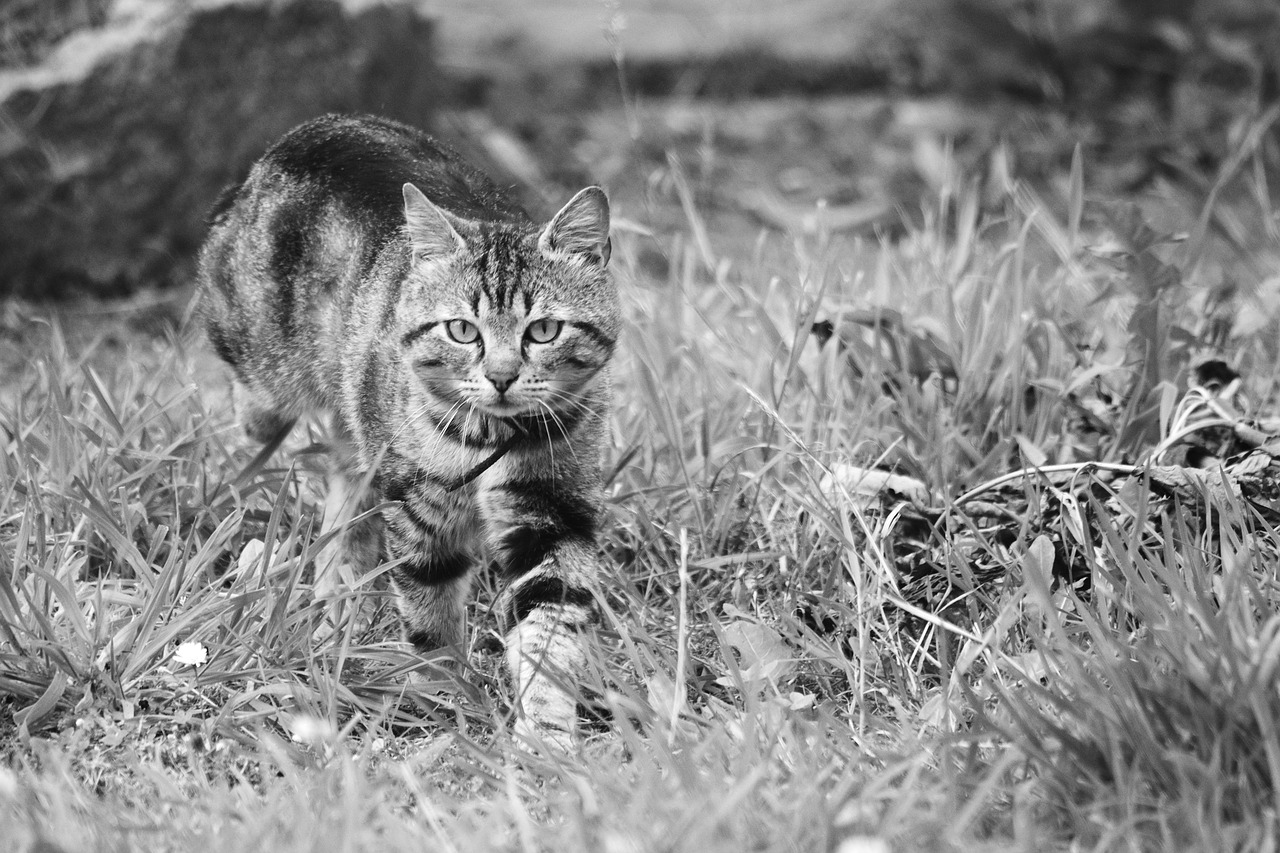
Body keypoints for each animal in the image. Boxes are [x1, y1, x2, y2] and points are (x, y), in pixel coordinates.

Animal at [197, 112, 616, 742]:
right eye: (462, 330)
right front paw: (443, 695)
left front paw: (546, 734)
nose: (501, 376)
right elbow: (429, 612)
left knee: (345, 467)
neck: (491, 440)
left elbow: (549, 631)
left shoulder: (553, 513)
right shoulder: (420, 511)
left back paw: (339, 580)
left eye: (543, 330)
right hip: (267, 380)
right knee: (269, 417)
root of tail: (308, 129)